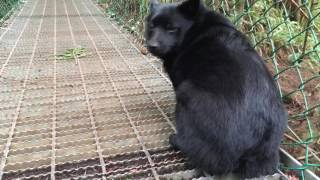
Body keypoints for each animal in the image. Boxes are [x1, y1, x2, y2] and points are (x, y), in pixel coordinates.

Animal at [145, 0, 288, 179]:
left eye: (171, 28)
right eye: (152, 26)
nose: (152, 45)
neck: (195, 30)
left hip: (187, 93)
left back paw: (177, 141)